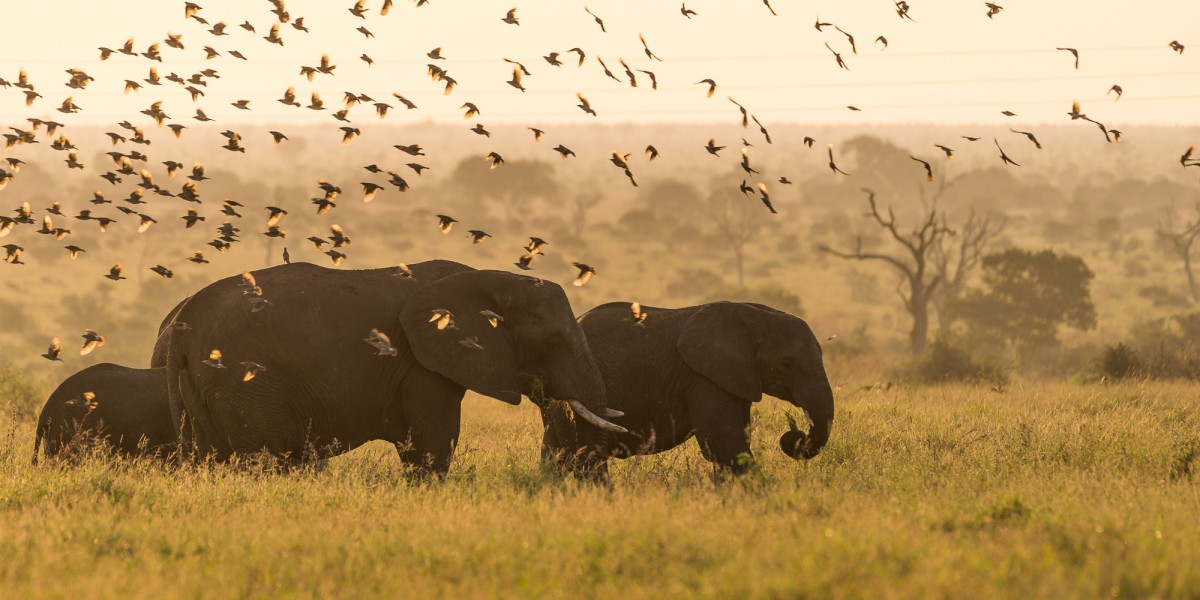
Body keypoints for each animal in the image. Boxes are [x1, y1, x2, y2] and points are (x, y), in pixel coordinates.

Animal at [164, 260, 624, 475]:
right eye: (554, 342)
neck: (489, 280)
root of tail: (181, 327)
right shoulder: (423, 365)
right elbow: (433, 441)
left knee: (210, 458)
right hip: (243, 383)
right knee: (263, 458)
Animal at [542, 302, 835, 480]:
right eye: (787, 363)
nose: (793, 435)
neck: (755, 316)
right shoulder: (702, 376)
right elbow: (724, 441)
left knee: (557, 449)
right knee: (588, 449)